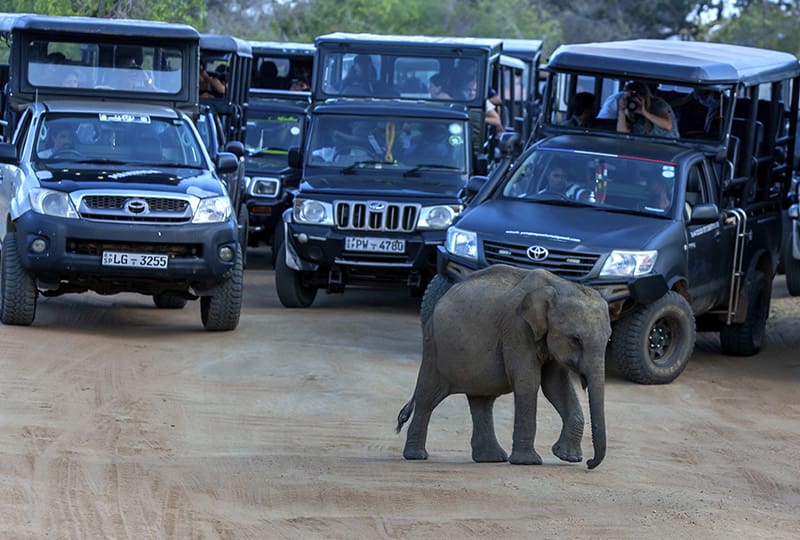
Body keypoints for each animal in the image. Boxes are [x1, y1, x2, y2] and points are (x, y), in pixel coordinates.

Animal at [396, 265, 612, 469]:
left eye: (609, 339)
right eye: (575, 340)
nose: (589, 463)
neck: (560, 285)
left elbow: (555, 386)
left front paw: (568, 457)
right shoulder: (517, 328)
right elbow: (529, 382)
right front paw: (528, 462)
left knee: (482, 401)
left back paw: (490, 458)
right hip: (433, 346)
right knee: (428, 397)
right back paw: (416, 456)